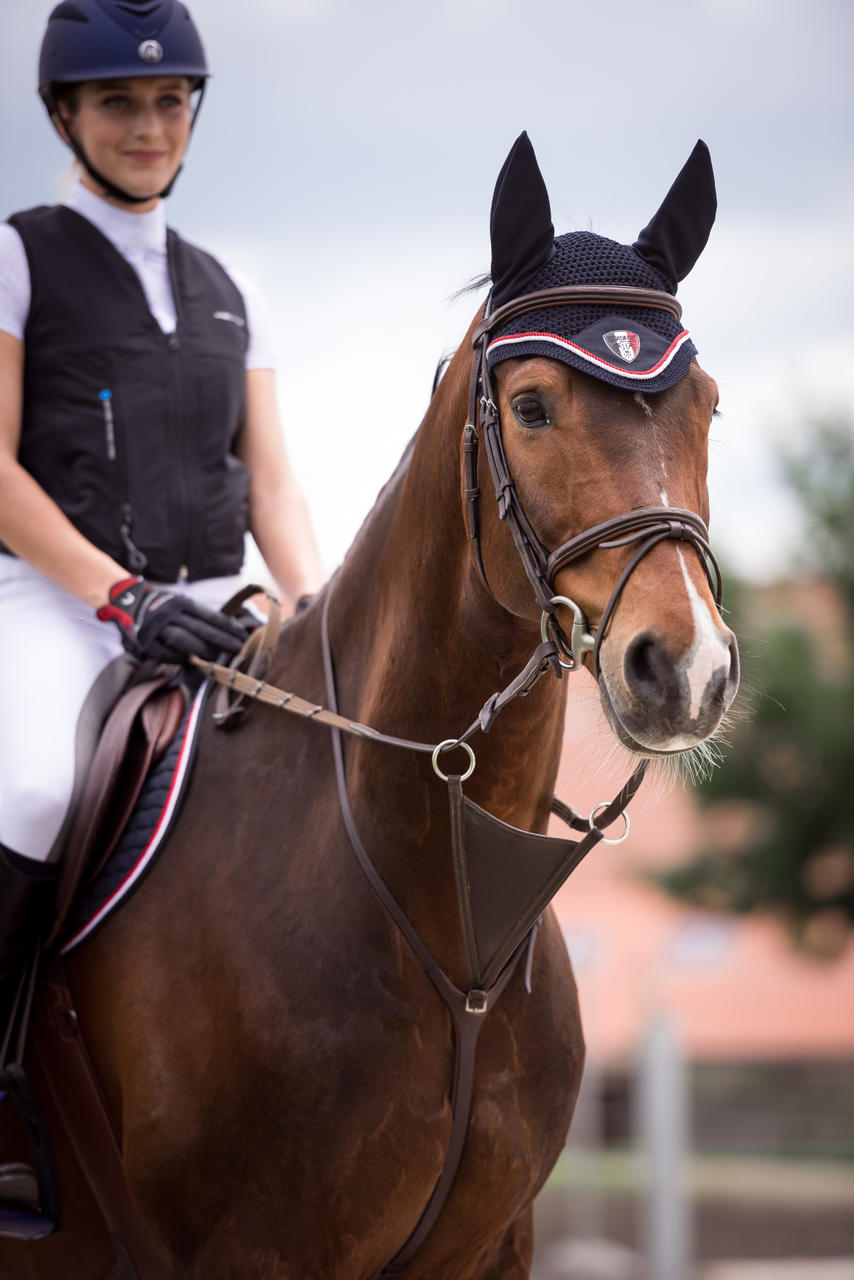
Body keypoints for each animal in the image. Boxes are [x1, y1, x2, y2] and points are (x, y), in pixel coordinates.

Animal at [0, 132, 737, 1280]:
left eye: (704, 402)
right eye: (532, 406)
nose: (687, 668)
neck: (449, 918)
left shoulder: (489, 1249)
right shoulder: (252, 1253)